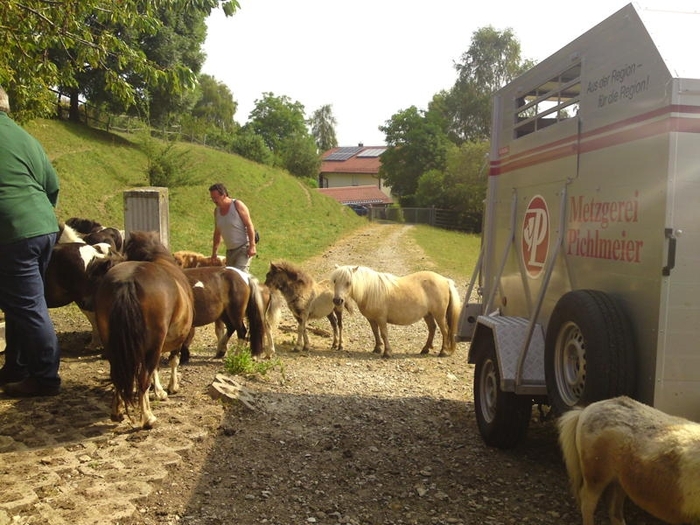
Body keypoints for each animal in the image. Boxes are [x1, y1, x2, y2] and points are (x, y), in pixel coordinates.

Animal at [92, 231, 194, 428]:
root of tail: (128, 281)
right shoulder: (173, 340)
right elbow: (172, 361)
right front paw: (170, 387)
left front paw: (159, 391)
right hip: (153, 343)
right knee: (143, 378)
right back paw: (148, 418)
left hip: (113, 345)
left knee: (117, 374)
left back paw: (117, 412)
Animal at [330, 264, 462, 358]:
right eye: (335, 281)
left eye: (348, 282)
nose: (337, 300)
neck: (369, 290)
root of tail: (445, 280)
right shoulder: (371, 319)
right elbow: (375, 332)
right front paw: (377, 348)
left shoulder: (381, 319)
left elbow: (384, 334)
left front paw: (387, 353)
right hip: (428, 314)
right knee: (432, 329)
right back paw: (425, 349)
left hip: (439, 315)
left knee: (444, 331)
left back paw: (443, 352)